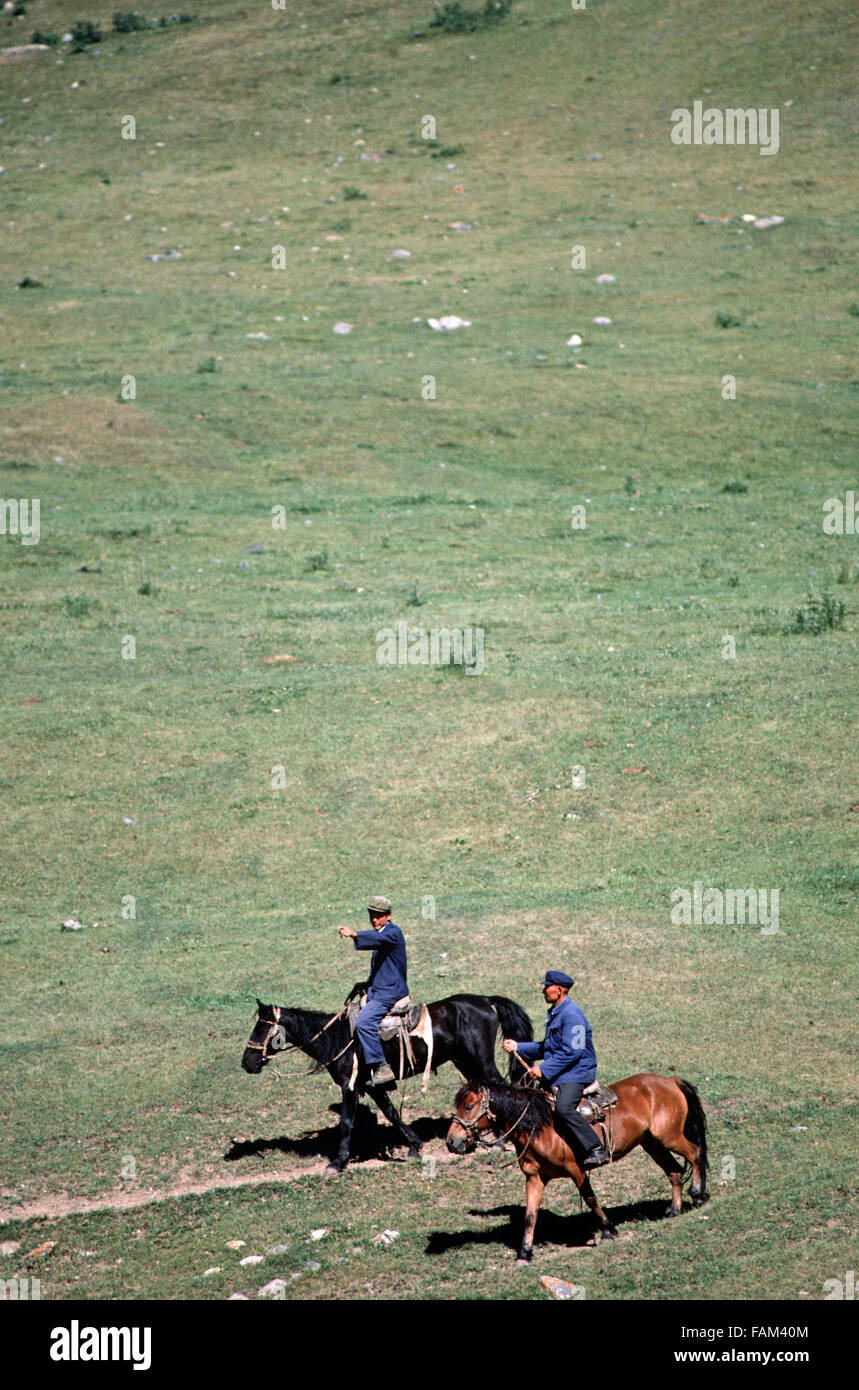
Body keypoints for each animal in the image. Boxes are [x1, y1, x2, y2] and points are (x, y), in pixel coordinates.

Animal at [240, 989, 530, 1173]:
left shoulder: (349, 1086)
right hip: (466, 1062)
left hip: (480, 1061)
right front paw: (414, 1145)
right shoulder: (371, 1087)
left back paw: (501, 1140)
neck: (337, 1037)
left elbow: (347, 1122)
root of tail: (485, 1001)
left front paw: (338, 1162)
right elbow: (392, 1114)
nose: (247, 1063)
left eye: (262, 1027)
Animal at [444, 1073, 706, 1262]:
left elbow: (590, 1199)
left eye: (468, 1106)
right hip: (652, 1143)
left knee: (695, 1153)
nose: (451, 1142)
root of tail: (670, 1080)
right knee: (674, 1171)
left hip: (669, 1137)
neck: (540, 1126)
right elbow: (530, 1216)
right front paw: (524, 1253)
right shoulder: (534, 1178)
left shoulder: (576, 1170)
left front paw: (608, 1230)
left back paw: (698, 1195)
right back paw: (674, 1210)